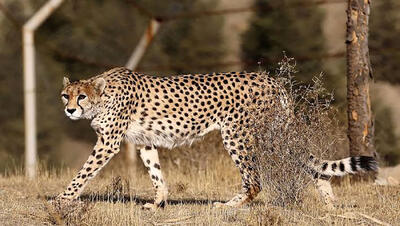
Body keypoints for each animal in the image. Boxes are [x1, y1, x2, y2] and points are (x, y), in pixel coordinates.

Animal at [57, 67, 376, 210]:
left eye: (81, 96)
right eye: (65, 95)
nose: (69, 110)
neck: (102, 96)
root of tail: (271, 79)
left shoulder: (108, 143)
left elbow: (84, 172)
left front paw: (62, 198)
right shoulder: (145, 141)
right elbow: (156, 173)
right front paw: (158, 202)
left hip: (240, 134)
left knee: (255, 180)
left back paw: (229, 205)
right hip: (271, 133)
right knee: (311, 166)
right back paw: (330, 204)